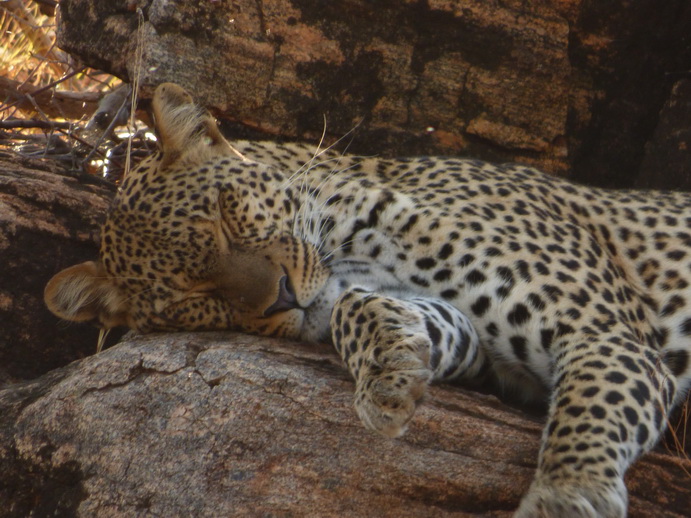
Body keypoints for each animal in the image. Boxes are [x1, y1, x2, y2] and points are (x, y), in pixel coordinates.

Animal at [46, 83, 688, 516]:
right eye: (195, 298)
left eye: (227, 216)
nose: (282, 298)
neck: (353, 239)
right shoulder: (479, 347)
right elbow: (368, 310)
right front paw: (390, 373)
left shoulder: (601, 334)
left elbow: (589, 409)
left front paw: (568, 495)